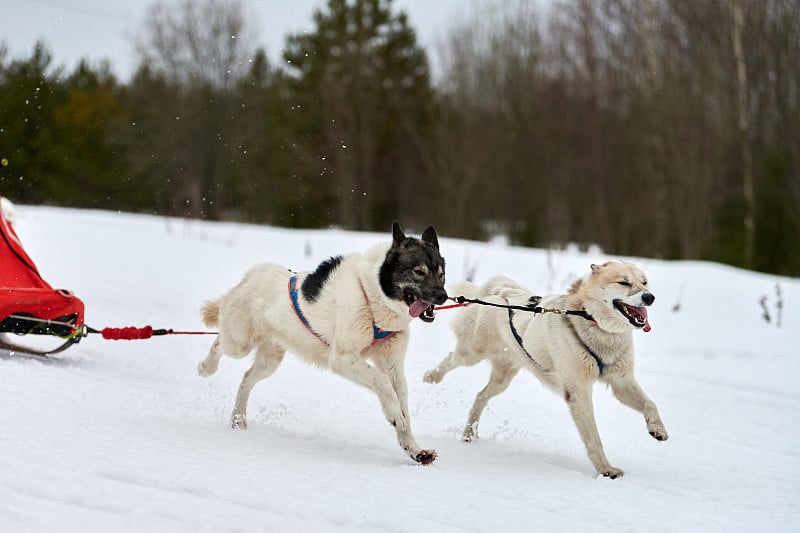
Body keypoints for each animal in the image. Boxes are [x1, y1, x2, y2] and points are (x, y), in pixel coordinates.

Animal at [199, 220, 446, 462]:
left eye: (441, 274)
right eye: (419, 271)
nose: (443, 296)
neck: (372, 295)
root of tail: (253, 274)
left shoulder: (392, 364)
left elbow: (401, 400)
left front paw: (414, 449)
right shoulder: (343, 358)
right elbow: (382, 382)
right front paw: (394, 414)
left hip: (269, 360)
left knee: (246, 378)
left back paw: (238, 418)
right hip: (239, 341)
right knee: (219, 342)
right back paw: (206, 367)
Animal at [424, 260, 668, 476]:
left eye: (644, 282)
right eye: (624, 282)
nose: (649, 297)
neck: (594, 325)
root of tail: (501, 291)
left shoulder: (621, 382)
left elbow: (650, 403)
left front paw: (657, 428)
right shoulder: (578, 393)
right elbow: (593, 437)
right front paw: (605, 470)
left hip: (502, 379)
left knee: (480, 396)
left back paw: (469, 433)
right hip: (472, 353)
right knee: (451, 359)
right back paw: (431, 377)